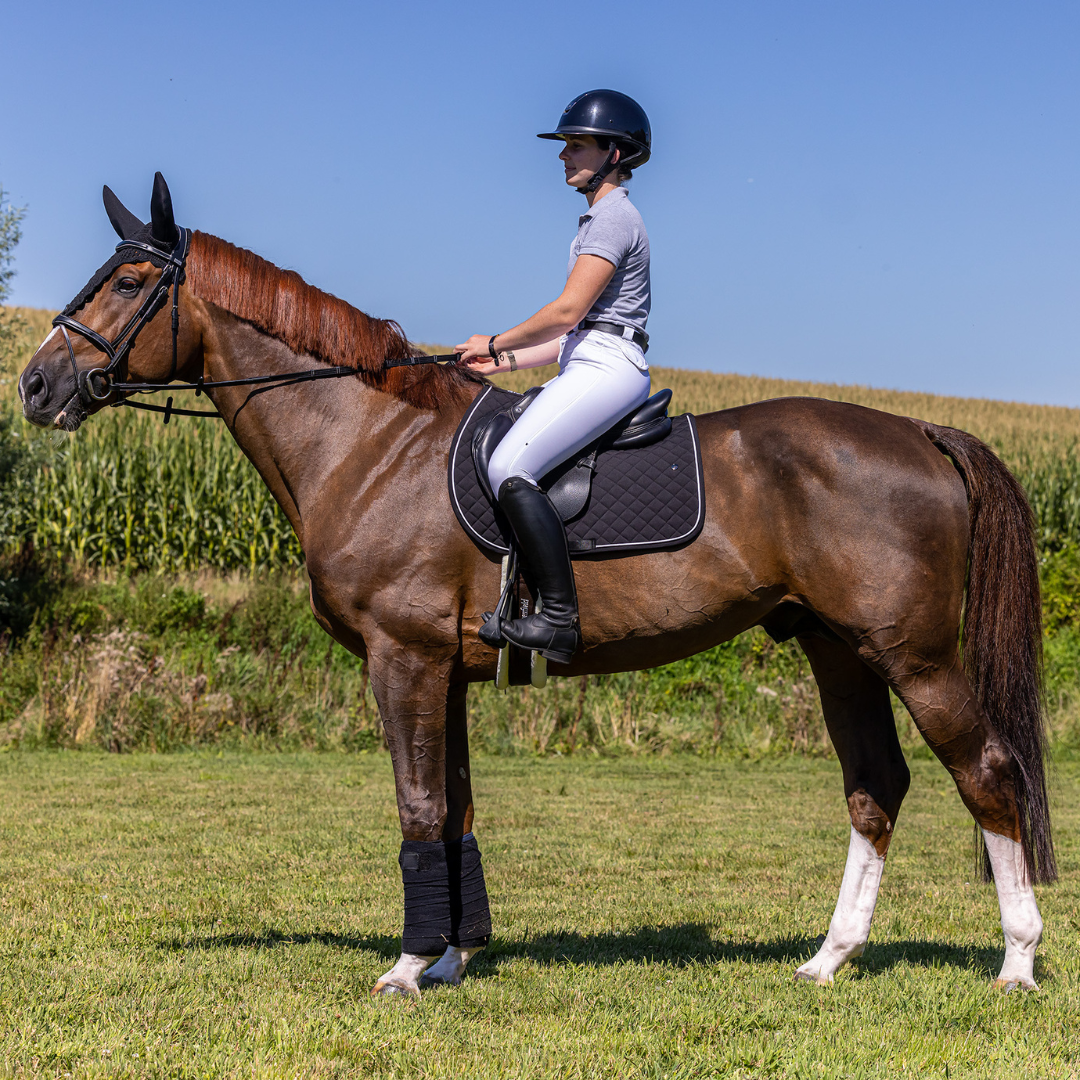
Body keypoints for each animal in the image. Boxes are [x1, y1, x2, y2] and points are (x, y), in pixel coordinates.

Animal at [19, 174, 1055, 997]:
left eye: (127, 282)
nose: (34, 386)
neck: (366, 439)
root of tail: (917, 432)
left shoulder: (403, 659)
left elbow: (419, 806)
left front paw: (408, 967)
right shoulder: (441, 670)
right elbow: (457, 808)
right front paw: (453, 956)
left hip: (914, 654)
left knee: (988, 771)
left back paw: (1016, 961)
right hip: (839, 649)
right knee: (875, 785)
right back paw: (829, 960)